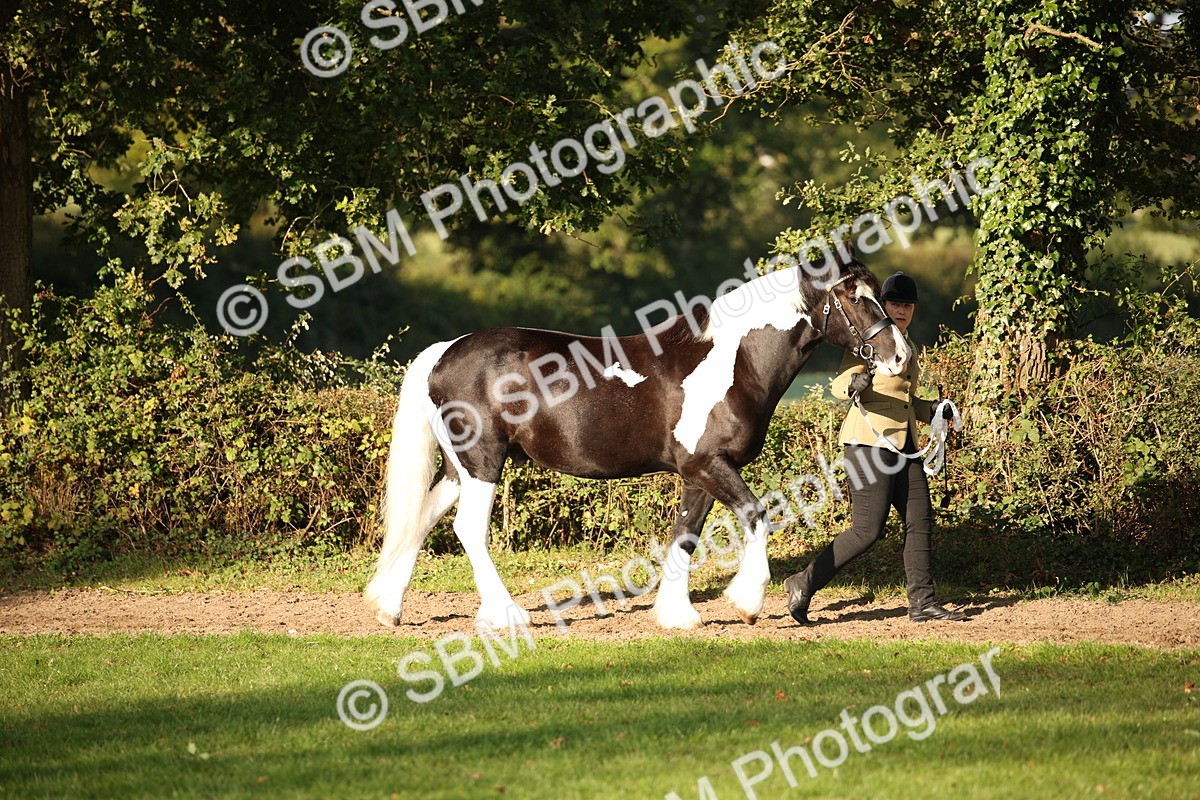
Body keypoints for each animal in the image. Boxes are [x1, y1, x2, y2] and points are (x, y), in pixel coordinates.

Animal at [365, 254, 910, 630]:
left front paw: (677, 615)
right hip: (482, 463)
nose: (900, 355)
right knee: (467, 529)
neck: (734, 361)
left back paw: (390, 608)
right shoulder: (710, 465)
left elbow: (684, 535)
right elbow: (756, 515)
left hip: (460, 467)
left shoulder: (699, 473)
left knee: (423, 517)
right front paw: (747, 602)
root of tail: (443, 353)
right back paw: (508, 614)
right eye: (854, 297)